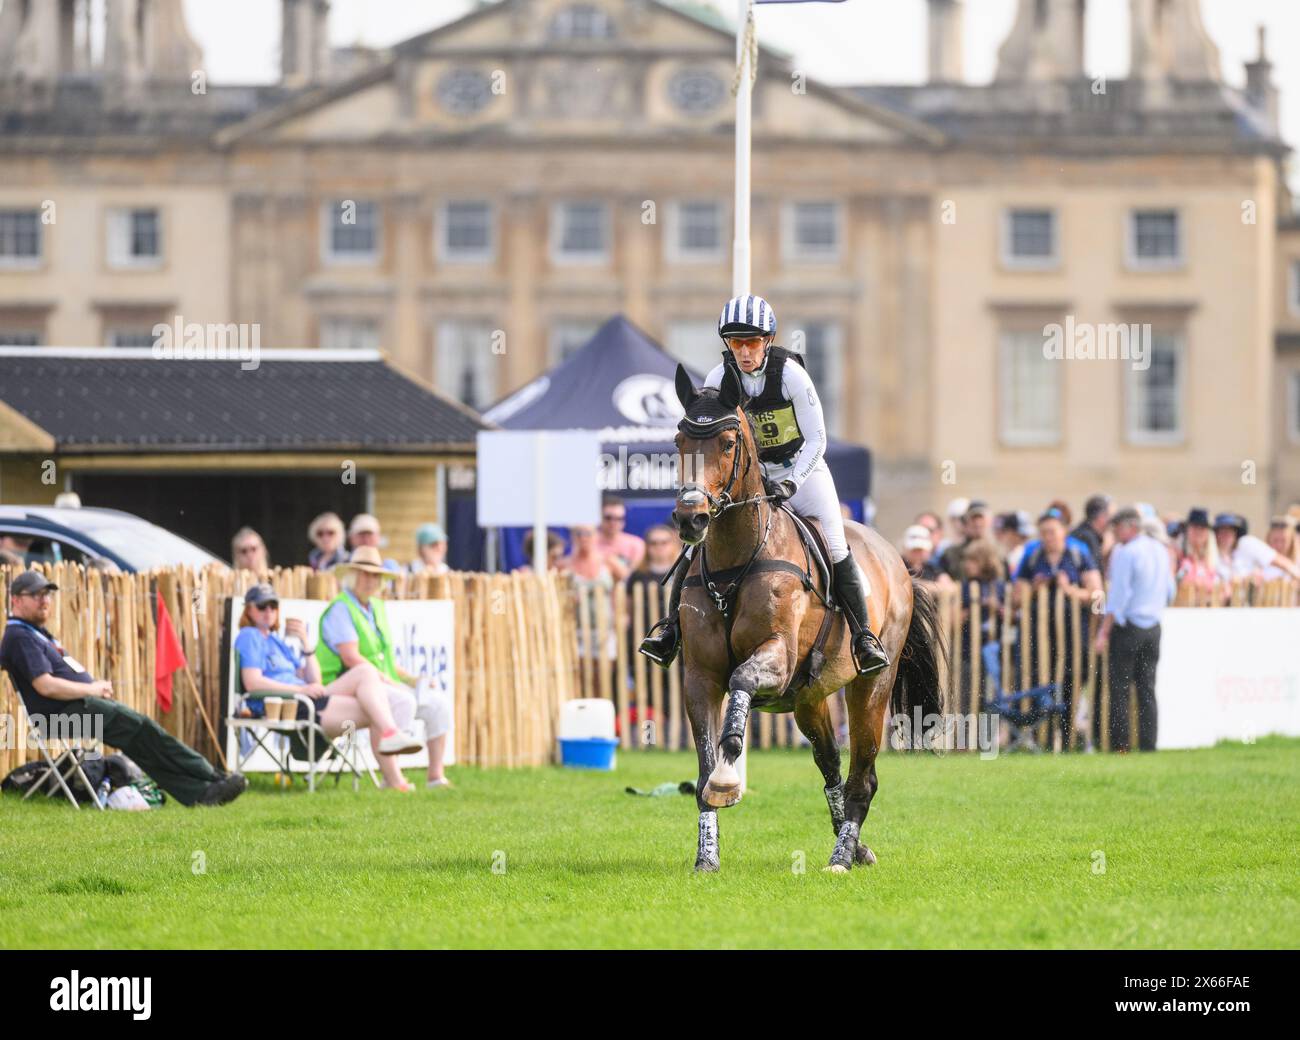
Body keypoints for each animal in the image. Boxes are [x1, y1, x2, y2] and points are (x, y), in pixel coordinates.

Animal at [670, 364, 946, 868]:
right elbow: (701, 772)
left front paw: (729, 773)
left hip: (870, 687)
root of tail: (897, 561)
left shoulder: (775, 659)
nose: (690, 519)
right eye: (680, 440)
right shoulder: (700, 677)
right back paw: (856, 846)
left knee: (862, 776)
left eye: (728, 442)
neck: (736, 560)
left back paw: (842, 856)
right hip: (809, 698)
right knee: (831, 764)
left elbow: (740, 685)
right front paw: (707, 856)